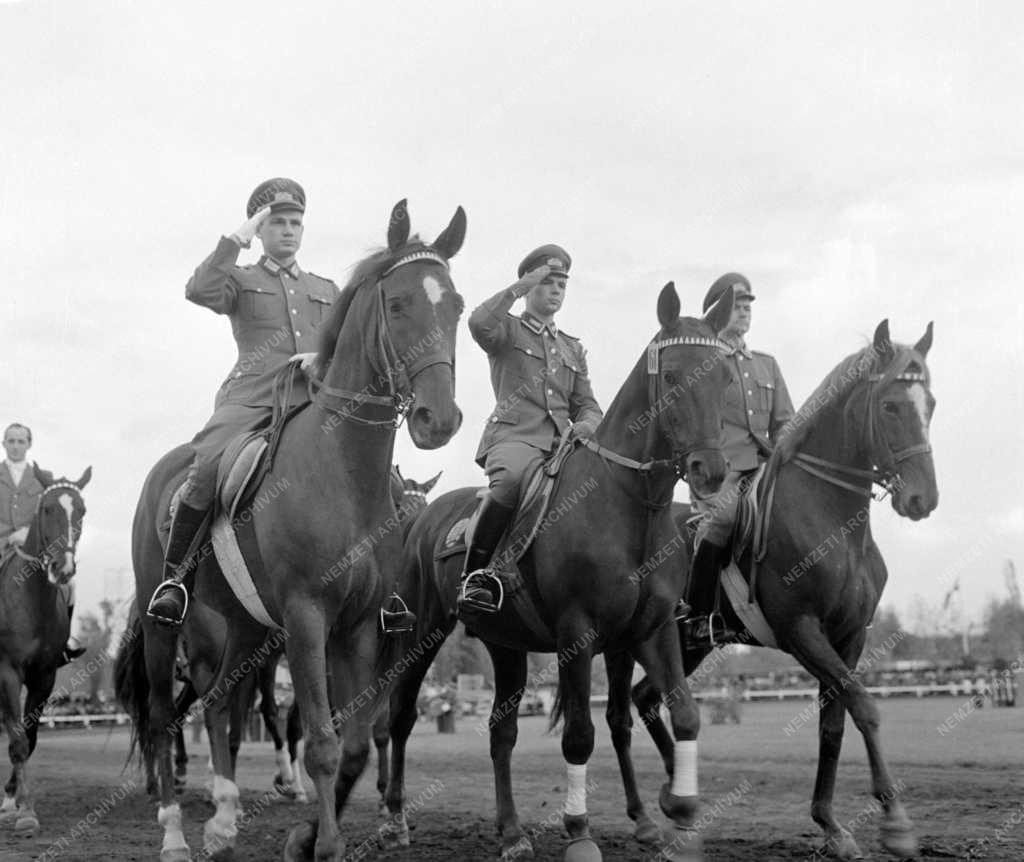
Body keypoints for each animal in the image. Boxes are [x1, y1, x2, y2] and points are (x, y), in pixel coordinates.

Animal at [116, 194, 464, 859]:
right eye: (399, 304)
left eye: (456, 305)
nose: (441, 419)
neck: (341, 471)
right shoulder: (307, 618)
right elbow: (323, 742)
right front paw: (323, 845)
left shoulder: (358, 627)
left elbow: (355, 740)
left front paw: (306, 835)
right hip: (162, 624)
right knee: (163, 717)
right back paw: (174, 830)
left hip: (249, 628)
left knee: (219, 703)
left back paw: (224, 820)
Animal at [385, 282, 737, 859]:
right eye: (672, 376)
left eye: (726, 377)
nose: (711, 470)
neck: (628, 506)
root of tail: (424, 515)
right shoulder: (579, 634)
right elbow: (580, 735)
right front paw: (580, 832)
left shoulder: (654, 630)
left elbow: (682, 714)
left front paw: (680, 814)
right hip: (423, 632)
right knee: (400, 713)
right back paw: (394, 819)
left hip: (505, 646)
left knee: (500, 732)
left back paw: (510, 831)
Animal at [618, 321, 937, 859]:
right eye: (892, 405)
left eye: (929, 403)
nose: (923, 499)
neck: (832, 520)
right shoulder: (801, 630)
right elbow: (866, 708)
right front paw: (895, 822)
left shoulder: (850, 636)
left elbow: (835, 724)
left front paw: (830, 824)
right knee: (618, 717)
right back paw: (649, 813)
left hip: (687, 647)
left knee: (645, 701)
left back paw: (672, 790)